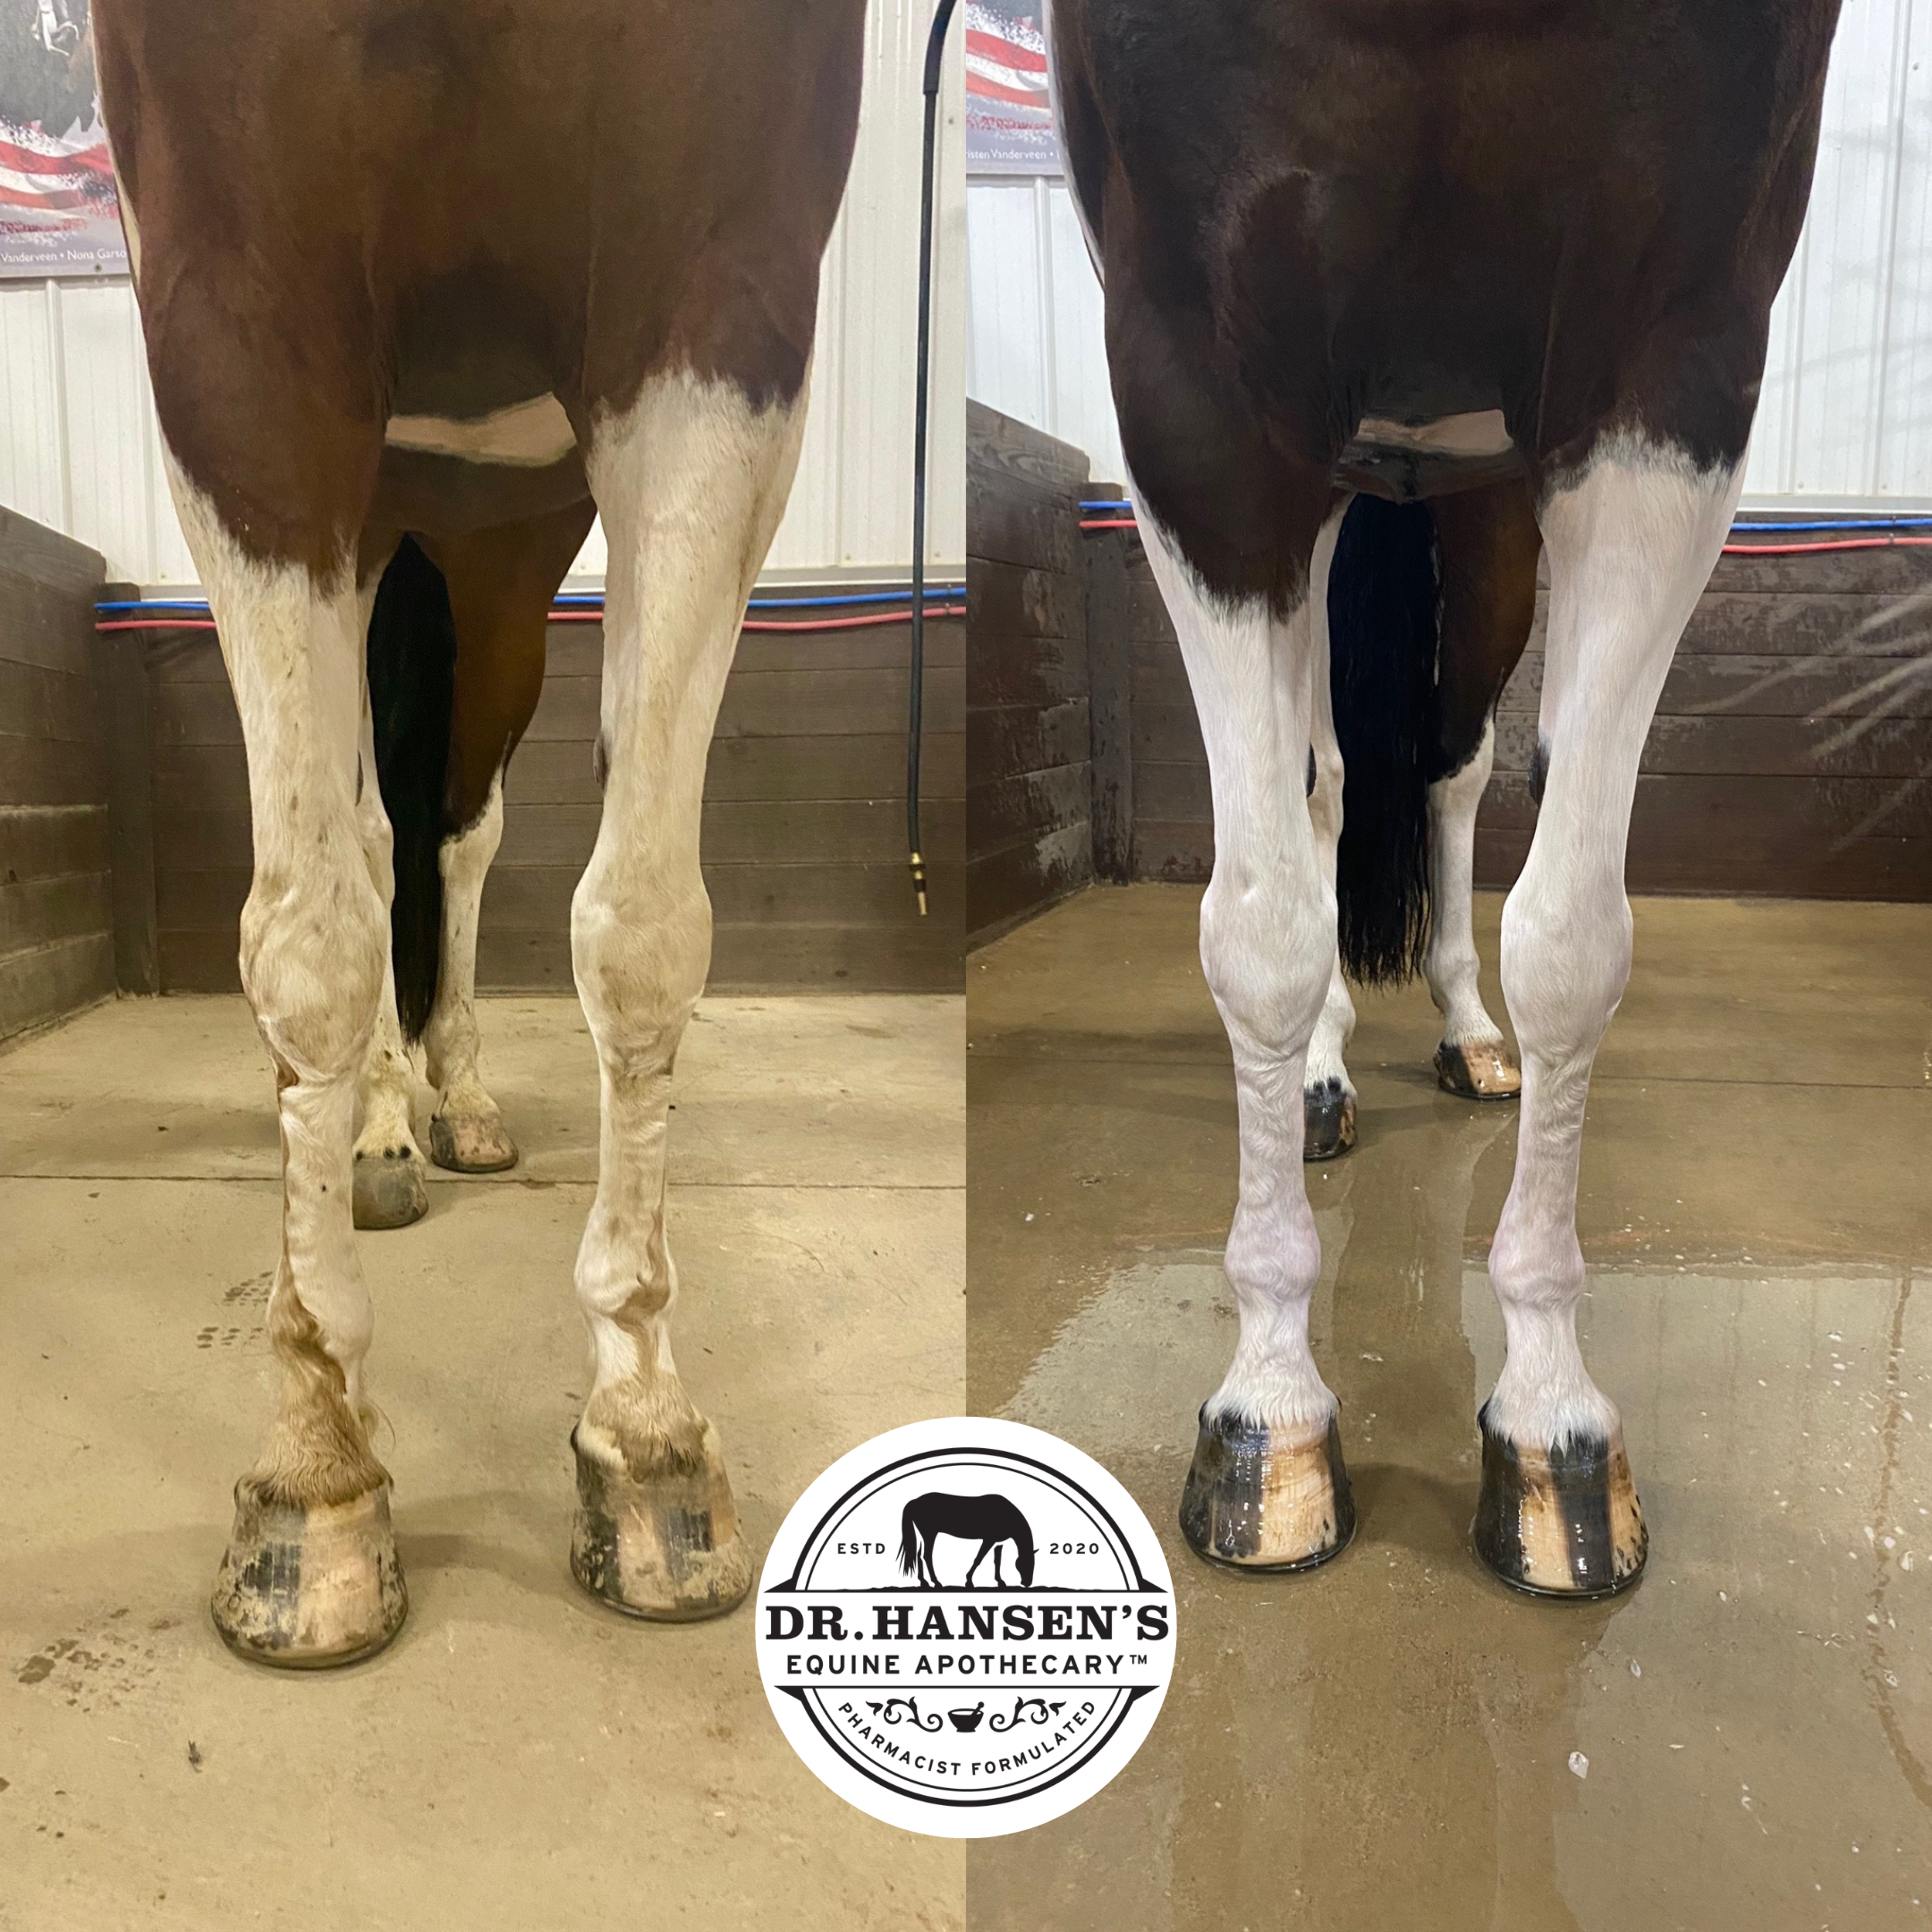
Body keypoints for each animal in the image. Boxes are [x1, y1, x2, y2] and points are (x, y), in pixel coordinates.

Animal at [94, 0, 866, 1664]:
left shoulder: (714, 312)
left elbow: (639, 931)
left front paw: (645, 1434)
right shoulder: (244, 332)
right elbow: (310, 940)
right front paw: (314, 1473)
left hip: (501, 553)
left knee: (454, 828)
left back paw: (450, 1098)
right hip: (380, 516)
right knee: (377, 837)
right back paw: (383, 1131)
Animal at [898, 1492, 1038, 1588]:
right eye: (1026, 1563)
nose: (1027, 1583)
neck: (1006, 1515)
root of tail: (916, 1501)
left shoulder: (998, 1544)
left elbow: (997, 1562)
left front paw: (1000, 1581)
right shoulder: (989, 1540)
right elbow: (978, 1559)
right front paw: (969, 1580)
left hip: (923, 1535)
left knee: (919, 1555)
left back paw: (923, 1581)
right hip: (929, 1534)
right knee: (927, 1556)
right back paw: (936, 1582)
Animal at [1052, 0, 1840, 1595]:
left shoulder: (1670, 375)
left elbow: (1573, 940)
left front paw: (1552, 1423)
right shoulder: (1197, 398)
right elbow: (1263, 934)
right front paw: (1270, 1413)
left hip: (1476, 516)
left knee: (1451, 772)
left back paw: (1467, 1032)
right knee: (1323, 786)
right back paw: (1319, 1080)